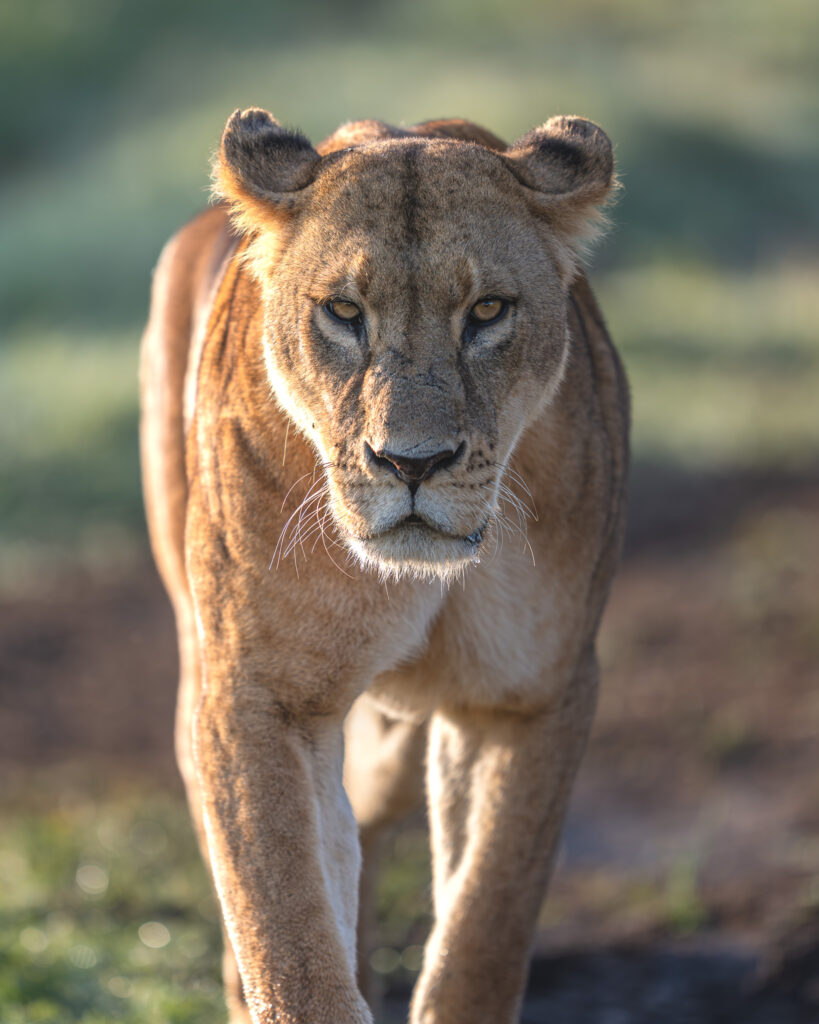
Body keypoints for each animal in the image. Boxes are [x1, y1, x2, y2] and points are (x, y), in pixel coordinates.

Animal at [140, 108, 629, 1024]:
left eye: (487, 310)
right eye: (342, 311)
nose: (411, 462)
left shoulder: (528, 694)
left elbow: (485, 924)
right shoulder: (261, 693)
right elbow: (286, 933)